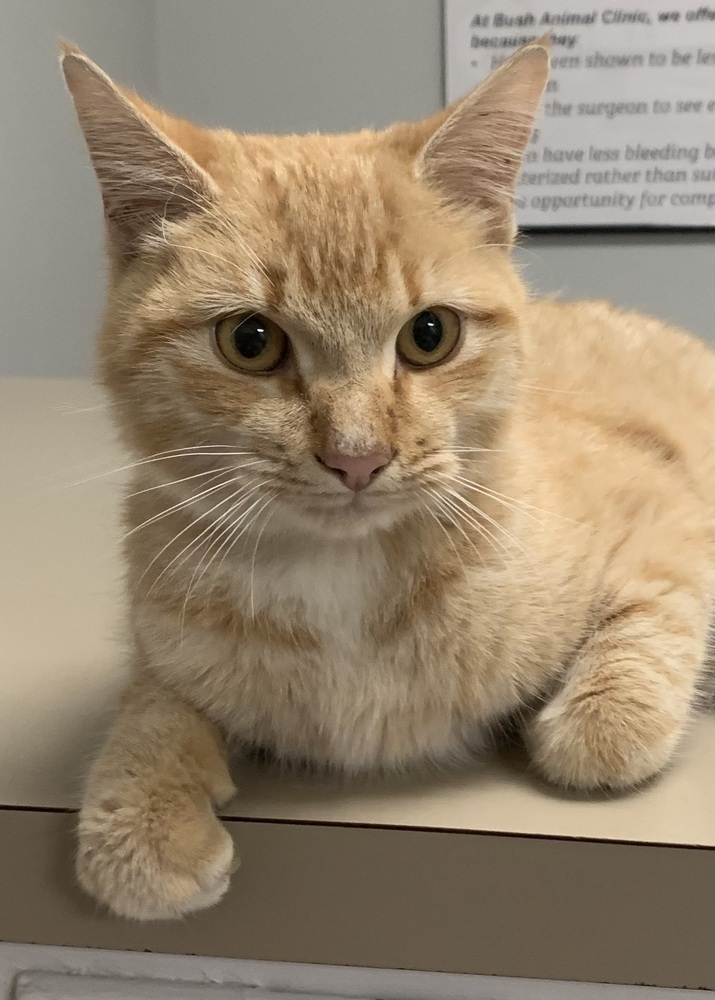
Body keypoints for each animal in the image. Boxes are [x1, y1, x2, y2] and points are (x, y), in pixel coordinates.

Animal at [60, 41, 712, 920]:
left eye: (429, 335)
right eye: (250, 341)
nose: (357, 456)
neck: (342, 583)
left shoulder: (666, 499)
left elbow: (655, 609)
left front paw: (605, 717)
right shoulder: (163, 625)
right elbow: (154, 696)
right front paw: (141, 812)